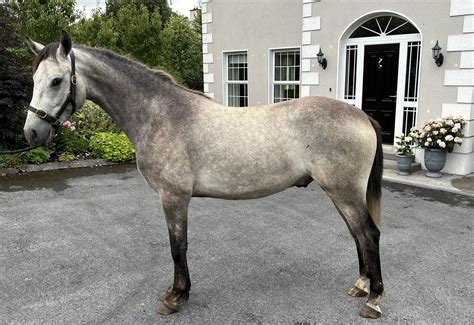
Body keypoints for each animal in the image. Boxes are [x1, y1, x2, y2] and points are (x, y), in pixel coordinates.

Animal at [23, 31, 386, 318]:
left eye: (56, 81)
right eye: (34, 80)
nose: (31, 133)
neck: (161, 115)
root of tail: (362, 116)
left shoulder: (173, 197)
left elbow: (177, 246)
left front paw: (175, 296)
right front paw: (178, 292)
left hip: (344, 191)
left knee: (368, 234)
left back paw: (373, 300)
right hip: (340, 192)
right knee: (357, 234)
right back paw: (360, 285)